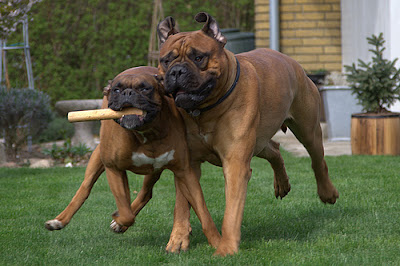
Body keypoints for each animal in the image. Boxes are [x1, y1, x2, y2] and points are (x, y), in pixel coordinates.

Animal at [45, 66, 220, 249]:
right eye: (117, 90)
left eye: (145, 89)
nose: (127, 93)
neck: (146, 133)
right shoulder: (114, 169)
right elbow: (125, 211)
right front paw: (119, 219)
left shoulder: (184, 171)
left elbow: (201, 208)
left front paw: (217, 242)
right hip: (98, 157)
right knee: (86, 187)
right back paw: (60, 220)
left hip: (154, 171)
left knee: (146, 193)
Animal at [158, 11, 340, 256]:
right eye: (166, 60)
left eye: (198, 58)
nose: (176, 71)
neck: (204, 111)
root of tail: (292, 62)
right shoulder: (187, 164)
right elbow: (181, 204)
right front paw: (178, 238)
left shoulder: (235, 163)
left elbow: (231, 211)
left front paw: (226, 248)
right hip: (259, 141)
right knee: (275, 149)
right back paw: (282, 183)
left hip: (307, 129)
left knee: (317, 160)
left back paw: (327, 192)